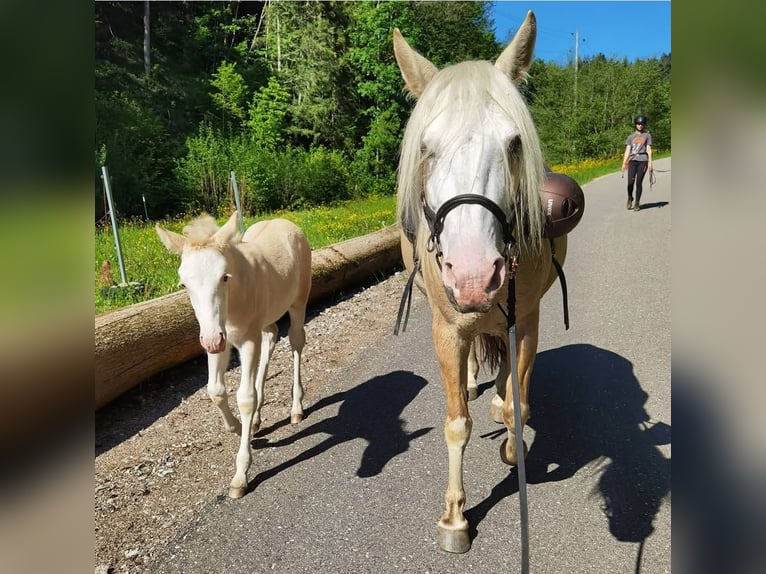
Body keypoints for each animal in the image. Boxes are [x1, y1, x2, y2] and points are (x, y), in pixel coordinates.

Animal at [156, 212, 312, 499]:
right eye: (184, 284)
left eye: (224, 277)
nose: (211, 340)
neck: (234, 301)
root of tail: (285, 222)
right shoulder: (219, 339)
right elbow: (215, 390)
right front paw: (240, 428)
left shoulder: (244, 340)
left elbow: (245, 398)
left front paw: (240, 475)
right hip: (264, 320)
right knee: (271, 336)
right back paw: (258, 419)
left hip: (298, 302)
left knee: (296, 341)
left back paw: (296, 407)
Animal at [393, 11, 568, 553]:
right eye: (426, 148)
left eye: (513, 143)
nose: (473, 275)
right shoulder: (448, 330)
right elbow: (455, 425)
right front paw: (455, 515)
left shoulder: (526, 320)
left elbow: (519, 403)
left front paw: (514, 448)